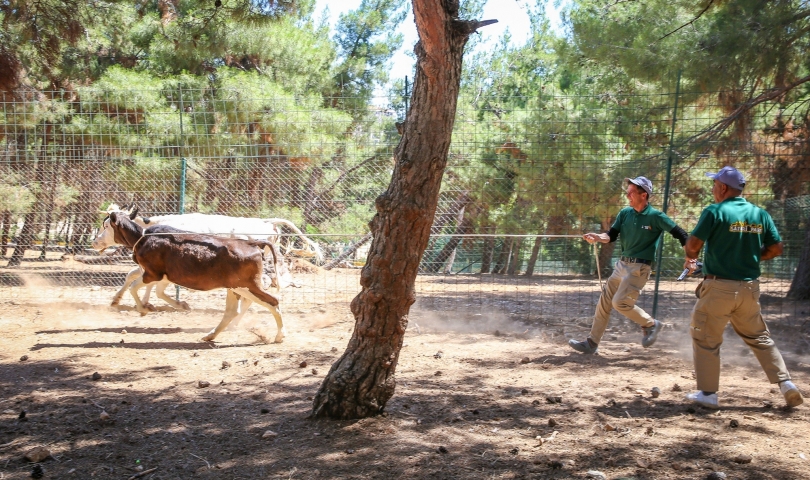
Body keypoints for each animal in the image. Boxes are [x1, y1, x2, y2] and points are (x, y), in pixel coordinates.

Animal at [105, 212, 284, 344]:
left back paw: (279, 336)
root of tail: (251, 244)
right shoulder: (164, 277)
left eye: (105, 225)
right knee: (232, 311)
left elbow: (133, 287)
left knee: (273, 301)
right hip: (235, 287)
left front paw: (143, 309)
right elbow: (156, 291)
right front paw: (179, 305)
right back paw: (210, 335)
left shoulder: (152, 274)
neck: (142, 238)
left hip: (247, 286)